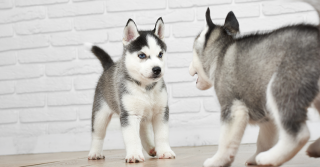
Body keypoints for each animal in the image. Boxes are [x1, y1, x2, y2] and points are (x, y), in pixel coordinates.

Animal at [87, 17, 175, 162]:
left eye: (160, 54)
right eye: (142, 55)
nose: (157, 69)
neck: (146, 88)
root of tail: (109, 66)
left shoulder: (161, 112)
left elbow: (162, 135)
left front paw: (165, 151)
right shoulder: (129, 115)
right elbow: (132, 137)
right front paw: (134, 155)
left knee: (143, 130)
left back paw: (151, 148)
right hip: (100, 114)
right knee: (98, 134)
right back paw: (95, 153)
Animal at [189, 1, 320, 167]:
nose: (188, 69)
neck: (220, 53)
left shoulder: (233, 108)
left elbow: (225, 140)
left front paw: (218, 160)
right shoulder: (267, 118)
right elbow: (263, 141)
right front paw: (255, 157)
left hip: (282, 84)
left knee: (299, 134)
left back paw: (270, 158)